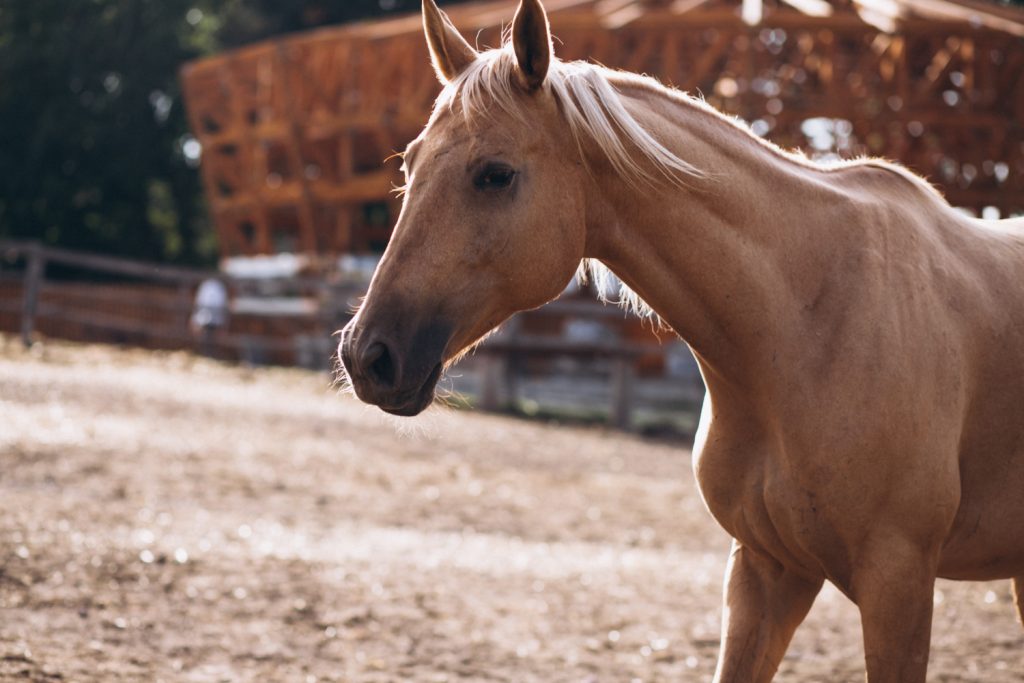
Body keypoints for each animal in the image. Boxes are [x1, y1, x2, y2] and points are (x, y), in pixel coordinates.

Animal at [342, 1, 1024, 679]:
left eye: (495, 174)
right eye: (408, 164)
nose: (365, 355)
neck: (808, 325)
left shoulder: (897, 583)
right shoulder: (765, 570)